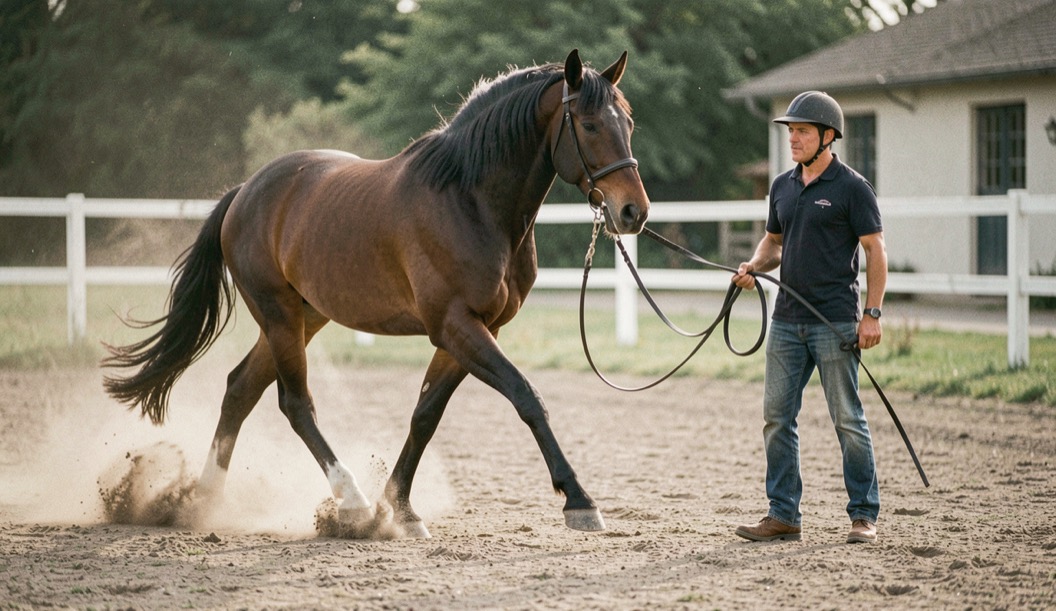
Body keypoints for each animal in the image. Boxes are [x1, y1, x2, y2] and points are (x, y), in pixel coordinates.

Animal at [102, 49, 649, 537]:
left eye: (629, 122)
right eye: (590, 125)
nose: (633, 212)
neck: (469, 201)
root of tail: (244, 193)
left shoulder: (475, 329)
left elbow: (426, 415)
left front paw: (401, 509)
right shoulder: (455, 324)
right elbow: (526, 396)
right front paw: (579, 500)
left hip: (304, 316)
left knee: (240, 390)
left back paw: (203, 503)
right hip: (279, 315)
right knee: (295, 404)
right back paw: (352, 502)